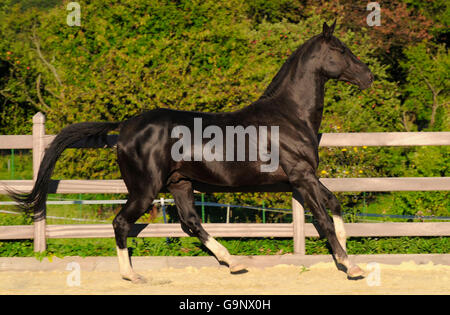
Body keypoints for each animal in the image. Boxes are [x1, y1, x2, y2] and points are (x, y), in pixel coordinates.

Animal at [9, 22, 372, 284]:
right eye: (340, 50)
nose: (368, 76)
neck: (289, 116)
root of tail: (126, 126)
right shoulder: (301, 176)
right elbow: (322, 218)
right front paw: (350, 265)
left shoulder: (305, 177)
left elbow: (334, 204)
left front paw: (346, 254)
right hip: (145, 190)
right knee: (121, 222)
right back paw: (132, 275)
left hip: (180, 183)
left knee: (190, 223)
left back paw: (233, 262)